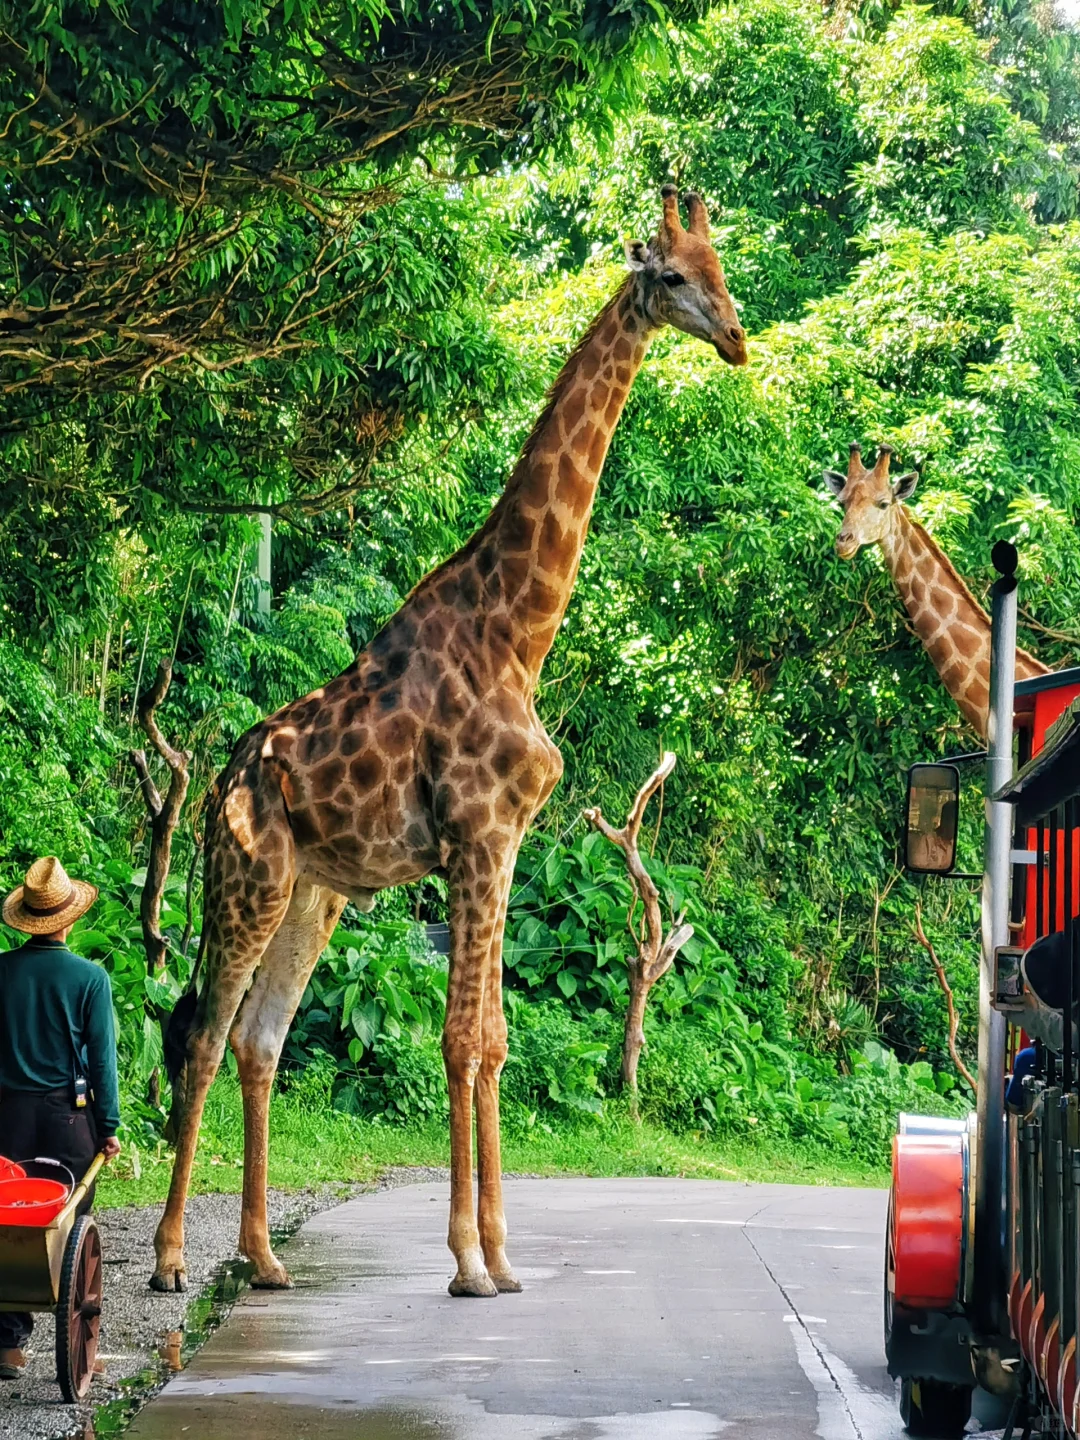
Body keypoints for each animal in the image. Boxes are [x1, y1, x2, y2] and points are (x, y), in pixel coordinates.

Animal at [150, 185, 743, 1301]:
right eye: (672, 274)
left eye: (721, 270)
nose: (734, 338)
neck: (519, 629)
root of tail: (219, 785)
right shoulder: (478, 834)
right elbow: (464, 1038)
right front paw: (469, 1261)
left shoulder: (506, 841)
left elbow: (496, 1040)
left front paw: (502, 1259)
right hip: (247, 877)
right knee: (203, 1034)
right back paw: (169, 1260)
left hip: (315, 891)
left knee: (260, 1038)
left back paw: (261, 1257)